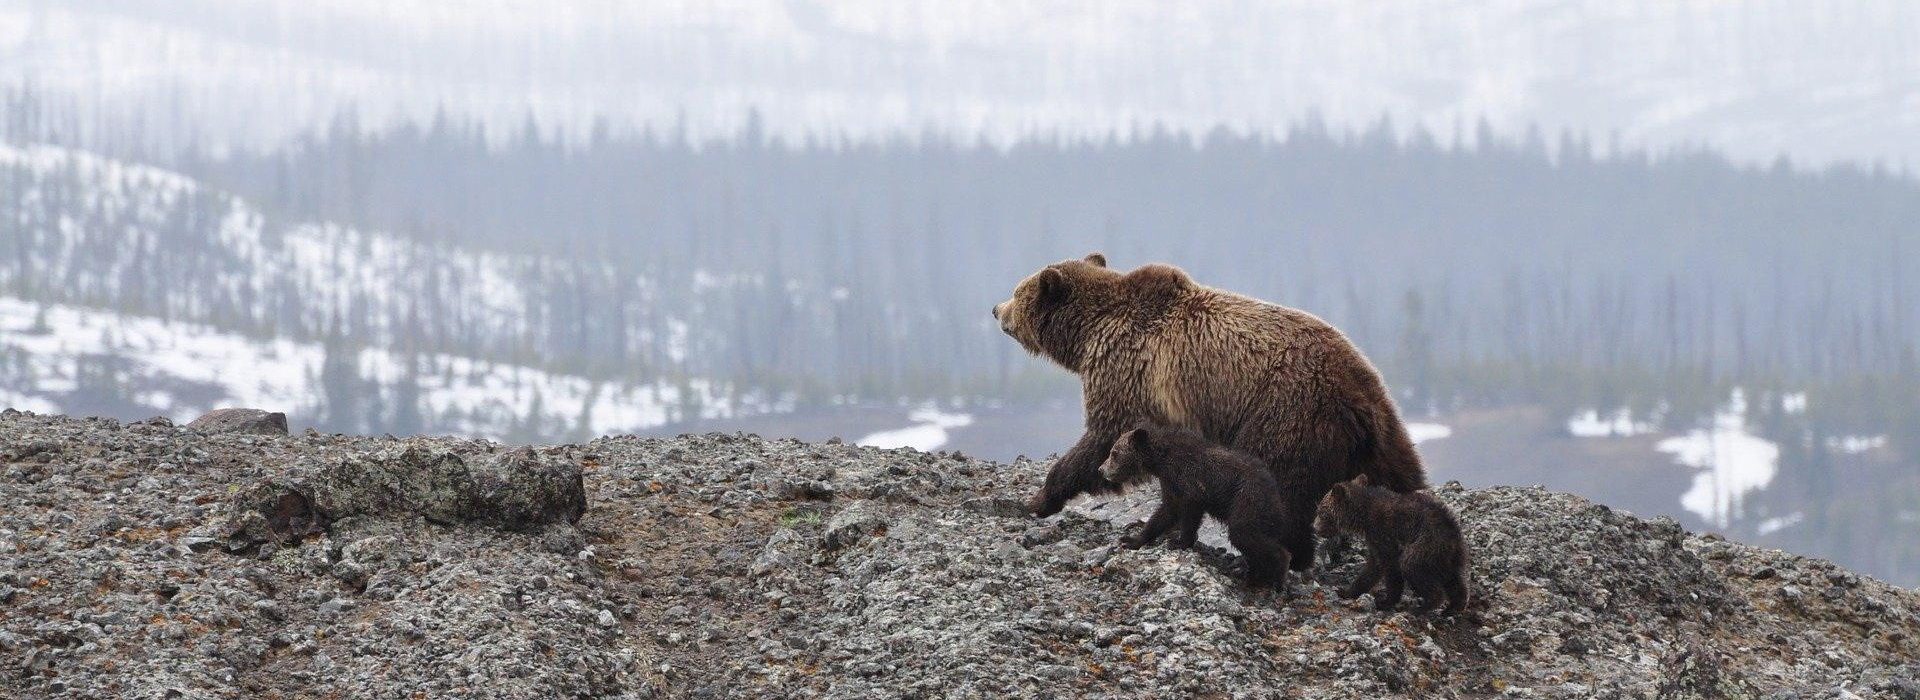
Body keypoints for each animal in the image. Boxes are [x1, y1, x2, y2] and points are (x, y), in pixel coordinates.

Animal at [991, 253, 1428, 570]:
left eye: (1018, 289)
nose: (996, 308)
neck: (1088, 336)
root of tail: (1359, 397)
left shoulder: (1127, 373)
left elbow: (1102, 438)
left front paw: (1040, 498)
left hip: (1287, 414)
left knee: (1282, 489)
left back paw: (1285, 555)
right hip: (1384, 430)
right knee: (1403, 476)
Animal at [1097, 424, 1299, 592]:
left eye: (1114, 452)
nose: (1101, 469)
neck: (1161, 460)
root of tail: (1277, 497)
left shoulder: (1189, 480)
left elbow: (1189, 512)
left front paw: (1179, 542)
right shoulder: (1170, 483)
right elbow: (1166, 512)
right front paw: (1131, 539)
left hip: (1248, 499)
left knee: (1243, 533)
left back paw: (1279, 574)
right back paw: (1253, 575)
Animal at [1313, 474, 1470, 614]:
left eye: (1321, 511)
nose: (1315, 528)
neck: (1363, 516)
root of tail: (1453, 534)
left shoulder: (1382, 533)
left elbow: (1385, 566)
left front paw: (1382, 600)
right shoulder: (1374, 538)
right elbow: (1376, 565)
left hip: (1426, 544)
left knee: (1412, 566)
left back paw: (1422, 607)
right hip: (1447, 557)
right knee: (1453, 579)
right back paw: (1453, 607)